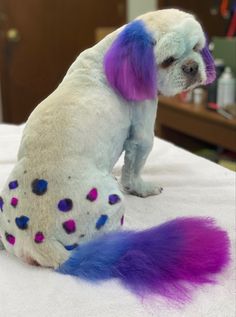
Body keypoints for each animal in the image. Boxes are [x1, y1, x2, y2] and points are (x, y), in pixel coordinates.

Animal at [0, 8, 229, 302]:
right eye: (168, 61)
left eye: (198, 48)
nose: (191, 66)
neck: (113, 53)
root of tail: (40, 240)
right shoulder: (142, 132)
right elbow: (134, 169)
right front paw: (141, 187)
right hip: (112, 201)